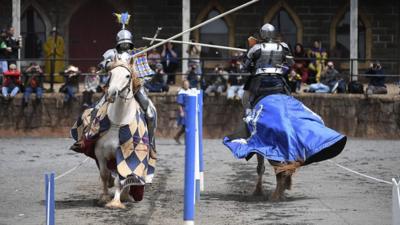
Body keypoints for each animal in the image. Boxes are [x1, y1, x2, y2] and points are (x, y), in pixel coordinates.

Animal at [94, 59, 144, 209]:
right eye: (110, 73)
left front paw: (115, 202)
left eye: (127, 76)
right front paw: (104, 197)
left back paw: (125, 196)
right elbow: (104, 174)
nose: (111, 94)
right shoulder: (100, 153)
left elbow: (120, 180)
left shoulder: (124, 156)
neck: (118, 121)